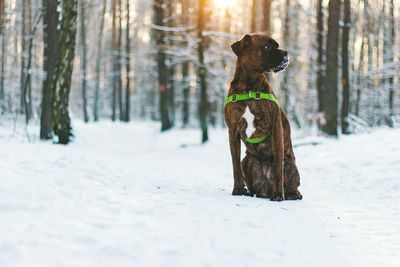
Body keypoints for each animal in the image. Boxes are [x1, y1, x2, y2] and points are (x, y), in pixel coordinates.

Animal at [225, 33, 304, 201]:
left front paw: (278, 194)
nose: (286, 53)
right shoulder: (232, 130)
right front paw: (238, 189)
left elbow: (277, 167)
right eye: (267, 46)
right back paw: (252, 192)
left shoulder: (275, 127)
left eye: (277, 45)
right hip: (248, 160)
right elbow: (235, 165)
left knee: (293, 187)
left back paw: (285, 193)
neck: (248, 86)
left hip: (290, 166)